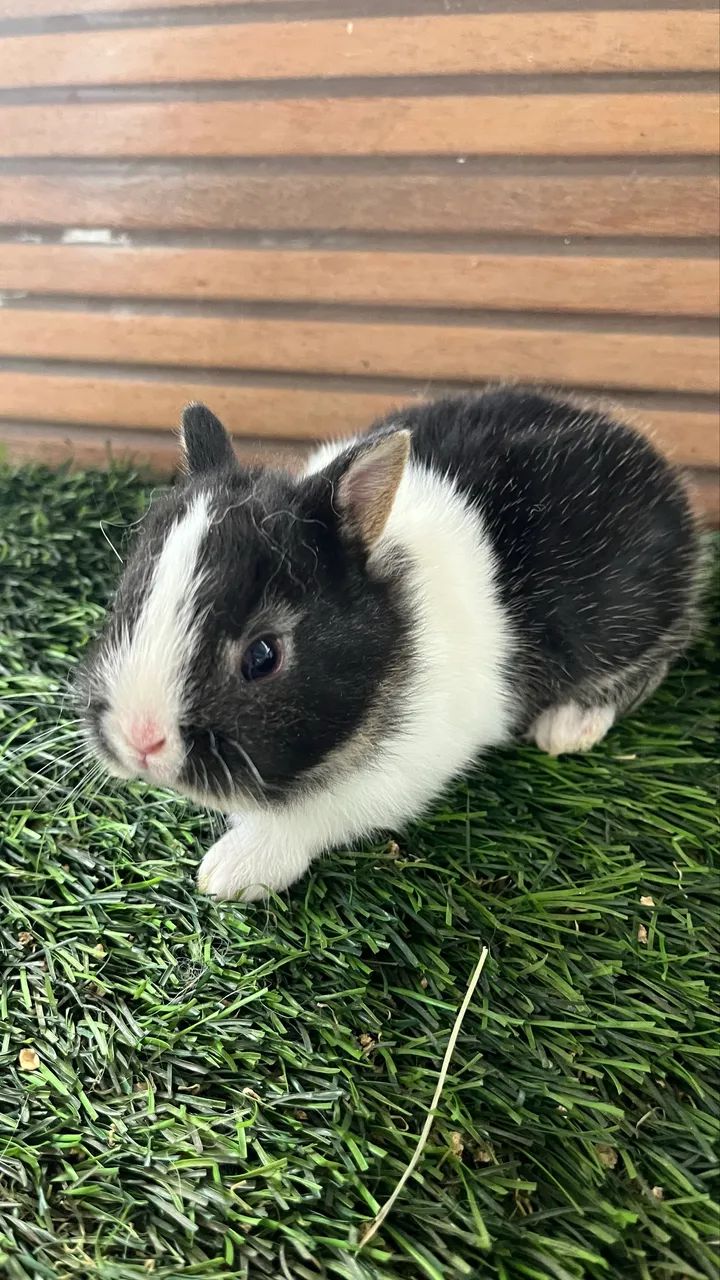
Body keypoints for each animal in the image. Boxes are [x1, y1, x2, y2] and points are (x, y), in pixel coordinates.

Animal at [78, 386, 702, 901]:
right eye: (127, 601)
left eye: (264, 655)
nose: (140, 740)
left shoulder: (402, 771)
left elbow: (312, 816)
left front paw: (232, 869)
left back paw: (568, 727)